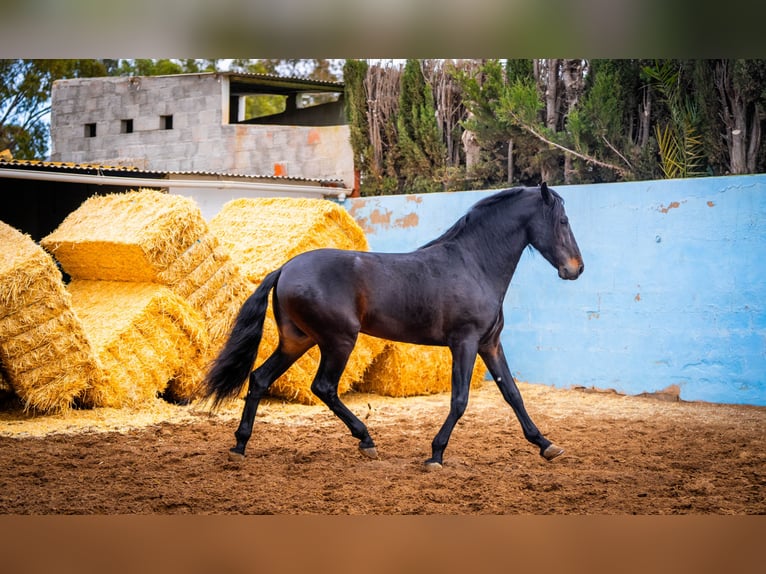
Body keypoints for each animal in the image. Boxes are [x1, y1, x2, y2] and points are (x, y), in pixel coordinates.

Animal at [201, 184, 584, 472]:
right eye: (563, 220)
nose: (576, 269)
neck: (473, 265)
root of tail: (284, 269)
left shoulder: (490, 344)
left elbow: (513, 394)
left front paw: (546, 445)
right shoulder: (464, 342)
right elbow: (460, 399)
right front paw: (435, 454)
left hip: (298, 341)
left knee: (260, 379)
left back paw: (240, 446)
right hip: (338, 341)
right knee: (323, 387)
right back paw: (366, 440)